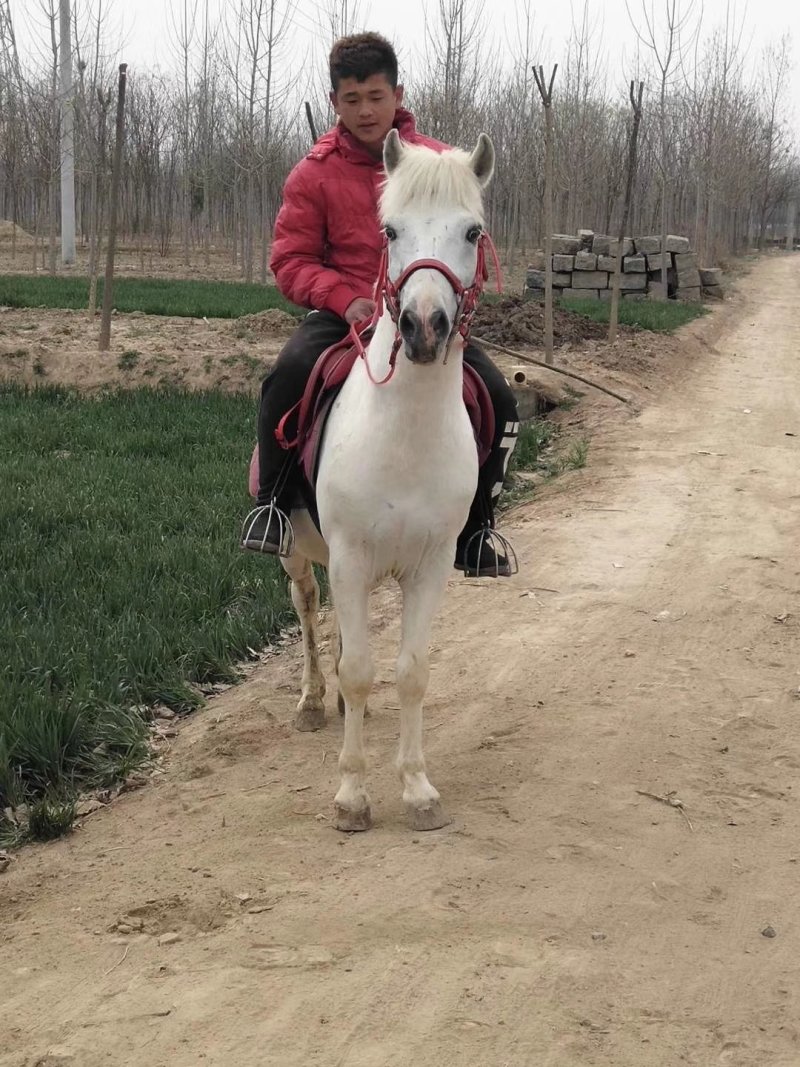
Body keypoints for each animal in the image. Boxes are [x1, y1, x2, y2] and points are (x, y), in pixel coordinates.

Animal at [279, 129, 500, 832]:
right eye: (390, 229)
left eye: (472, 230)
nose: (424, 327)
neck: (404, 435)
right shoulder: (349, 557)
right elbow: (355, 669)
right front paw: (352, 795)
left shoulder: (429, 566)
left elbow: (409, 671)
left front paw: (417, 789)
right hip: (294, 550)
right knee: (308, 609)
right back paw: (311, 701)